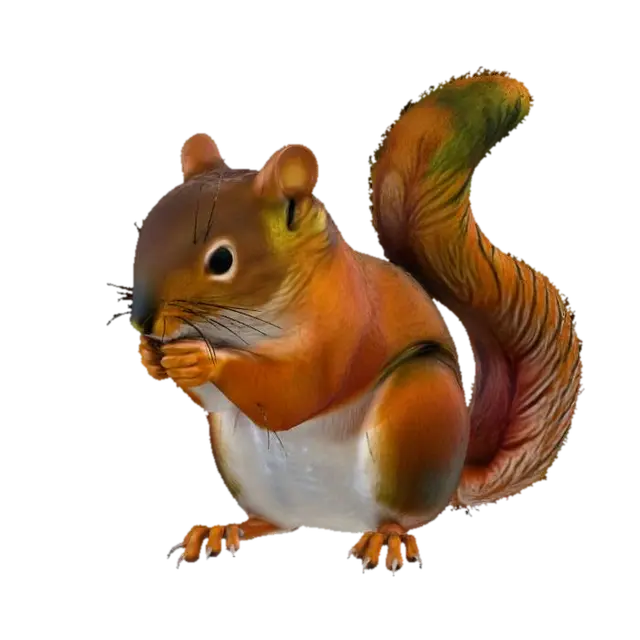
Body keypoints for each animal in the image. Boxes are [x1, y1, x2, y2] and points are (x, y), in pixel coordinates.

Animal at [130, 68, 583, 573]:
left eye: (222, 260)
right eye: (145, 233)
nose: (143, 322)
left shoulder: (343, 329)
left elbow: (293, 394)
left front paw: (200, 359)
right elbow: (216, 399)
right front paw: (150, 357)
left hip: (416, 412)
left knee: (404, 516)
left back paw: (386, 539)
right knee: (271, 520)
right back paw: (222, 529)